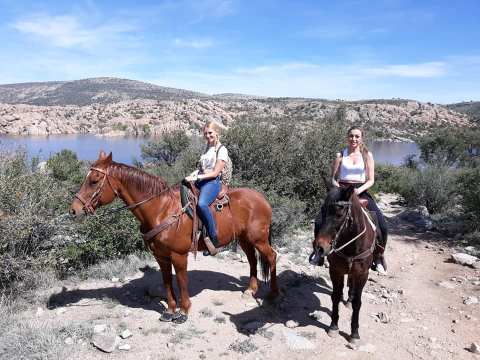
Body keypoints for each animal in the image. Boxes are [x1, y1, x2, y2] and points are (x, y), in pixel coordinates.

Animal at [70, 152, 280, 324]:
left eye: (94, 181)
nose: (74, 210)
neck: (161, 210)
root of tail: (262, 198)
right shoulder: (161, 257)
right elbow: (167, 283)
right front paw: (170, 311)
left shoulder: (179, 256)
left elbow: (181, 282)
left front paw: (184, 312)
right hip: (245, 240)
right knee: (252, 260)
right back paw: (250, 290)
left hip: (259, 239)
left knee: (271, 257)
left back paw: (273, 294)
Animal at [310, 184, 376, 344]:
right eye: (322, 210)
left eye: (339, 214)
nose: (320, 248)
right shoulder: (335, 271)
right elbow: (334, 296)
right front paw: (333, 327)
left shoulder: (362, 274)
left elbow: (358, 302)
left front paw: (354, 334)